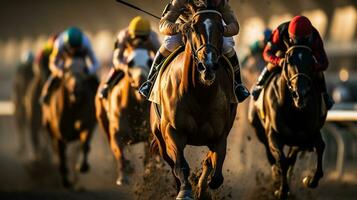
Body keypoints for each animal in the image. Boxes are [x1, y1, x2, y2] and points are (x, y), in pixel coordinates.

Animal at [42, 58, 98, 188]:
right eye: (67, 71)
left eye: (84, 70)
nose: (75, 87)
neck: (73, 106)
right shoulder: (59, 133)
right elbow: (61, 154)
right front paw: (65, 181)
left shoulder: (86, 124)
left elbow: (85, 143)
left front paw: (82, 166)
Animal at [95, 42, 151, 186]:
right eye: (130, 62)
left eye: (149, 60)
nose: (141, 80)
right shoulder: (117, 134)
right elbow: (119, 152)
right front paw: (124, 175)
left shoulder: (149, 135)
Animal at [149, 3, 236, 200]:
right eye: (193, 28)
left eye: (221, 29)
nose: (208, 66)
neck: (200, 94)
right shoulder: (173, 131)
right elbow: (180, 165)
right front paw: (185, 191)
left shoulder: (220, 135)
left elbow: (215, 170)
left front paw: (203, 189)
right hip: (159, 135)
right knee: (171, 163)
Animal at [249, 46, 326, 199]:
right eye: (289, 60)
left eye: (312, 61)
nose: (300, 94)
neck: (294, 111)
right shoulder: (273, 134)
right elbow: (282, 160)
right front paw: (281, 190)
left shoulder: (309, 134)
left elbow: (320, 146)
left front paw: (310, 180)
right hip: (258, 128)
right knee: (270, 154)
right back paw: (276, 174)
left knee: (292, 156)